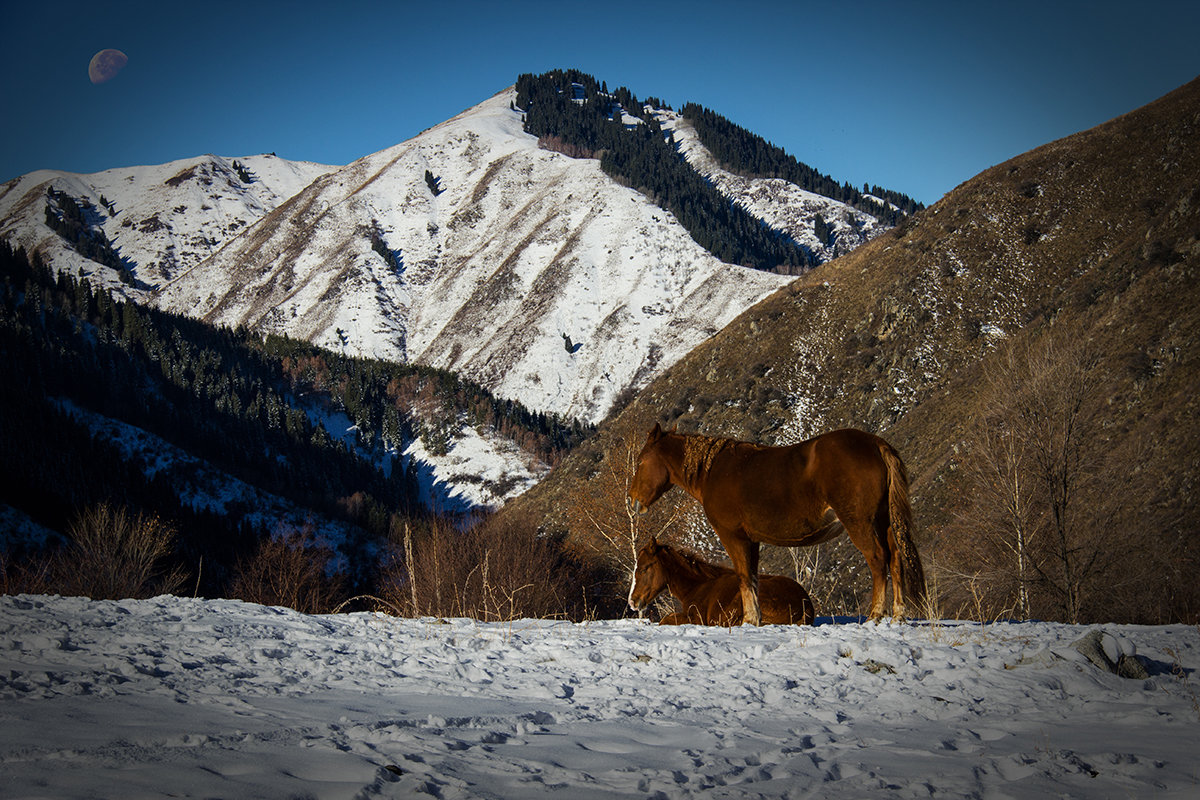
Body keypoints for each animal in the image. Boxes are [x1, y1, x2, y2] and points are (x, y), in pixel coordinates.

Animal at [628, 534, 816, 628]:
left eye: (643, 568)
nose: (633, 601)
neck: (697, 586)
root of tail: (804, 604)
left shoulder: (697, 619)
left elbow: (665, 620)